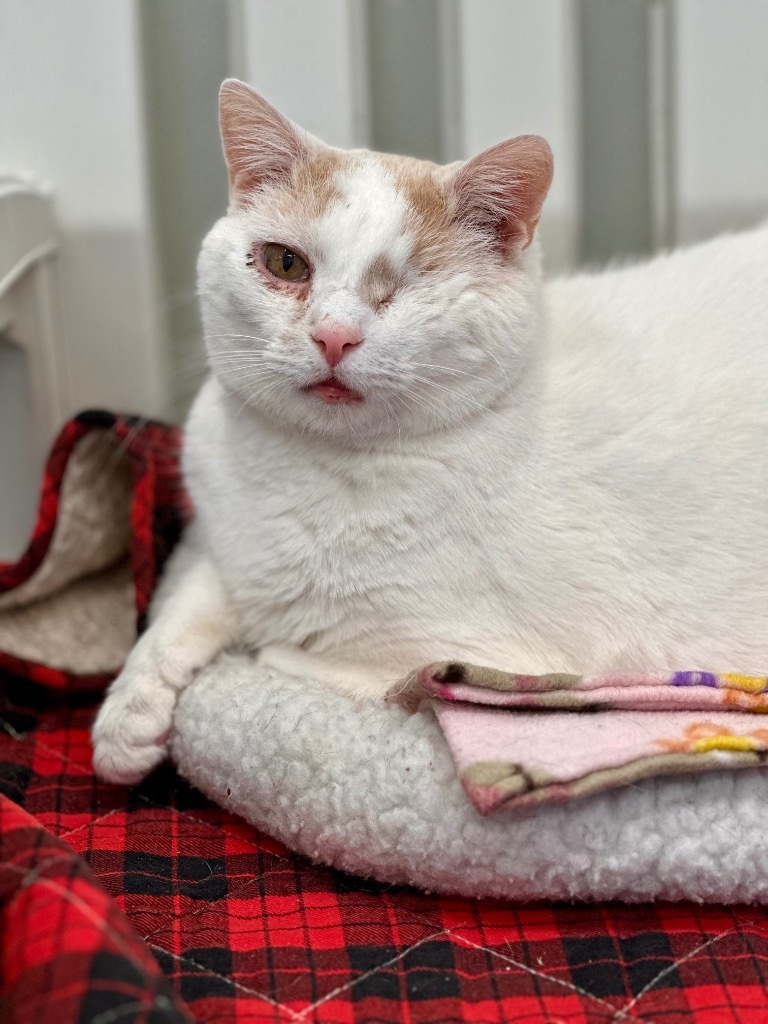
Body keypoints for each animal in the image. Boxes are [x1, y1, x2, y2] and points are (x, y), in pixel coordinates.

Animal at [93, 79, 768, 782]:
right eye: (285, 263)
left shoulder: (488, 662)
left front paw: (257, 648)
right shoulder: (223, 540)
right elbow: (191, 595)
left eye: (412, 284)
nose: (333, 336)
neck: (315, 469)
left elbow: (300, 652)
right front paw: (128, 714)